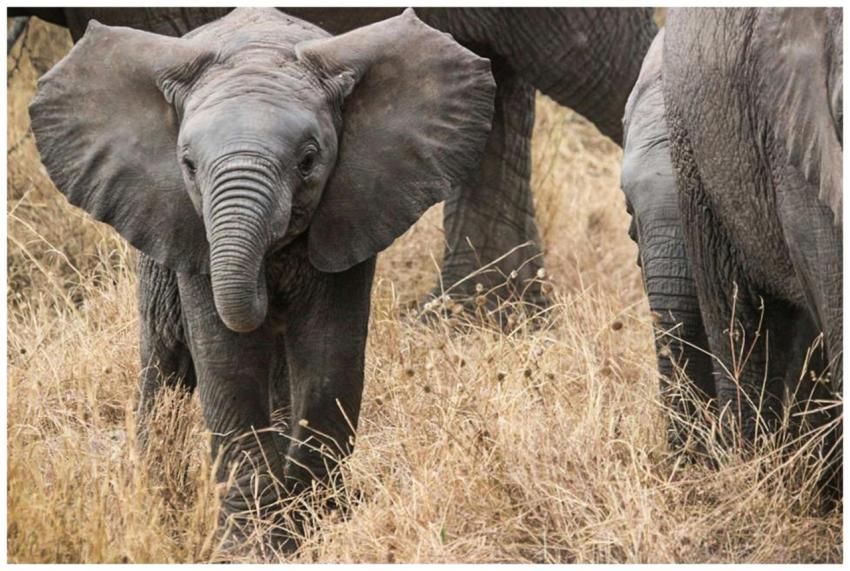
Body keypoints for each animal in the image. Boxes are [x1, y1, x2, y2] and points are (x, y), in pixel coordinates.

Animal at [29, 7, 496, 546]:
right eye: (188, 165)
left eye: (309, 161)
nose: (265, 286)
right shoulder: (188, 229)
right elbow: (227, 360)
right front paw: (252, 542)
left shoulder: (354, 208)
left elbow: (329, 353)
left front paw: (314, 524)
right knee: (164, 359)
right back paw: (154, 496)